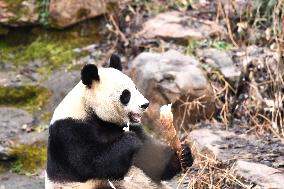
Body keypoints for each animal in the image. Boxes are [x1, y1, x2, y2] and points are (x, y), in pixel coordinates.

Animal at [46, 54, 193, 188]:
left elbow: (151, 158)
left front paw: (183, 155)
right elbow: (90, 163)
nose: (145, 104)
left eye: (136, 88)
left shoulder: (131, 127)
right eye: (126, 94)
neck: (90, 109)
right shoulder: (69, 131)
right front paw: (129, 140)